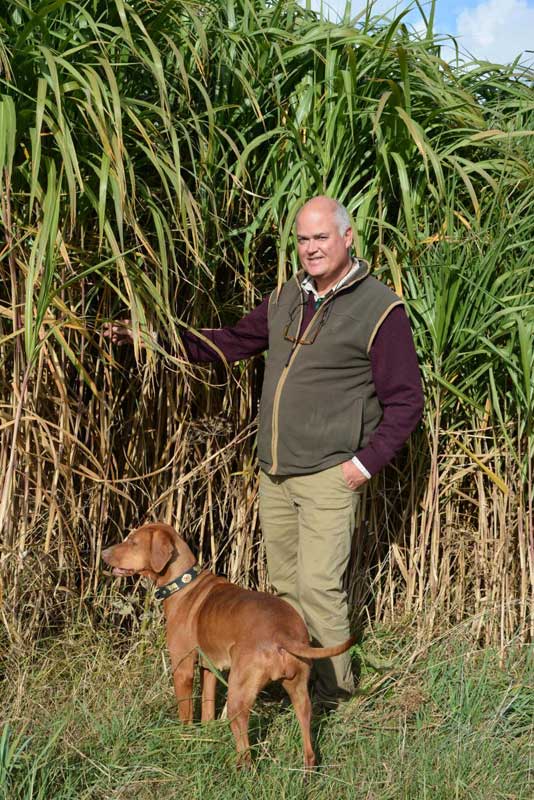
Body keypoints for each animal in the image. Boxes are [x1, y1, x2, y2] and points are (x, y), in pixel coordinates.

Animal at [103, 520, 356, 764]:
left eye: (133, 542)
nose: (104, 553)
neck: (184, 584)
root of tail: (283, 634)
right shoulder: (209, 667)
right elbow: (207, 707)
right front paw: (206, 735)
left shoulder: (182, 668)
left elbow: (186, 713)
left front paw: (183, 740)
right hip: (301, 695)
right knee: (309, 748)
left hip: (238, 695)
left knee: (246, 753)